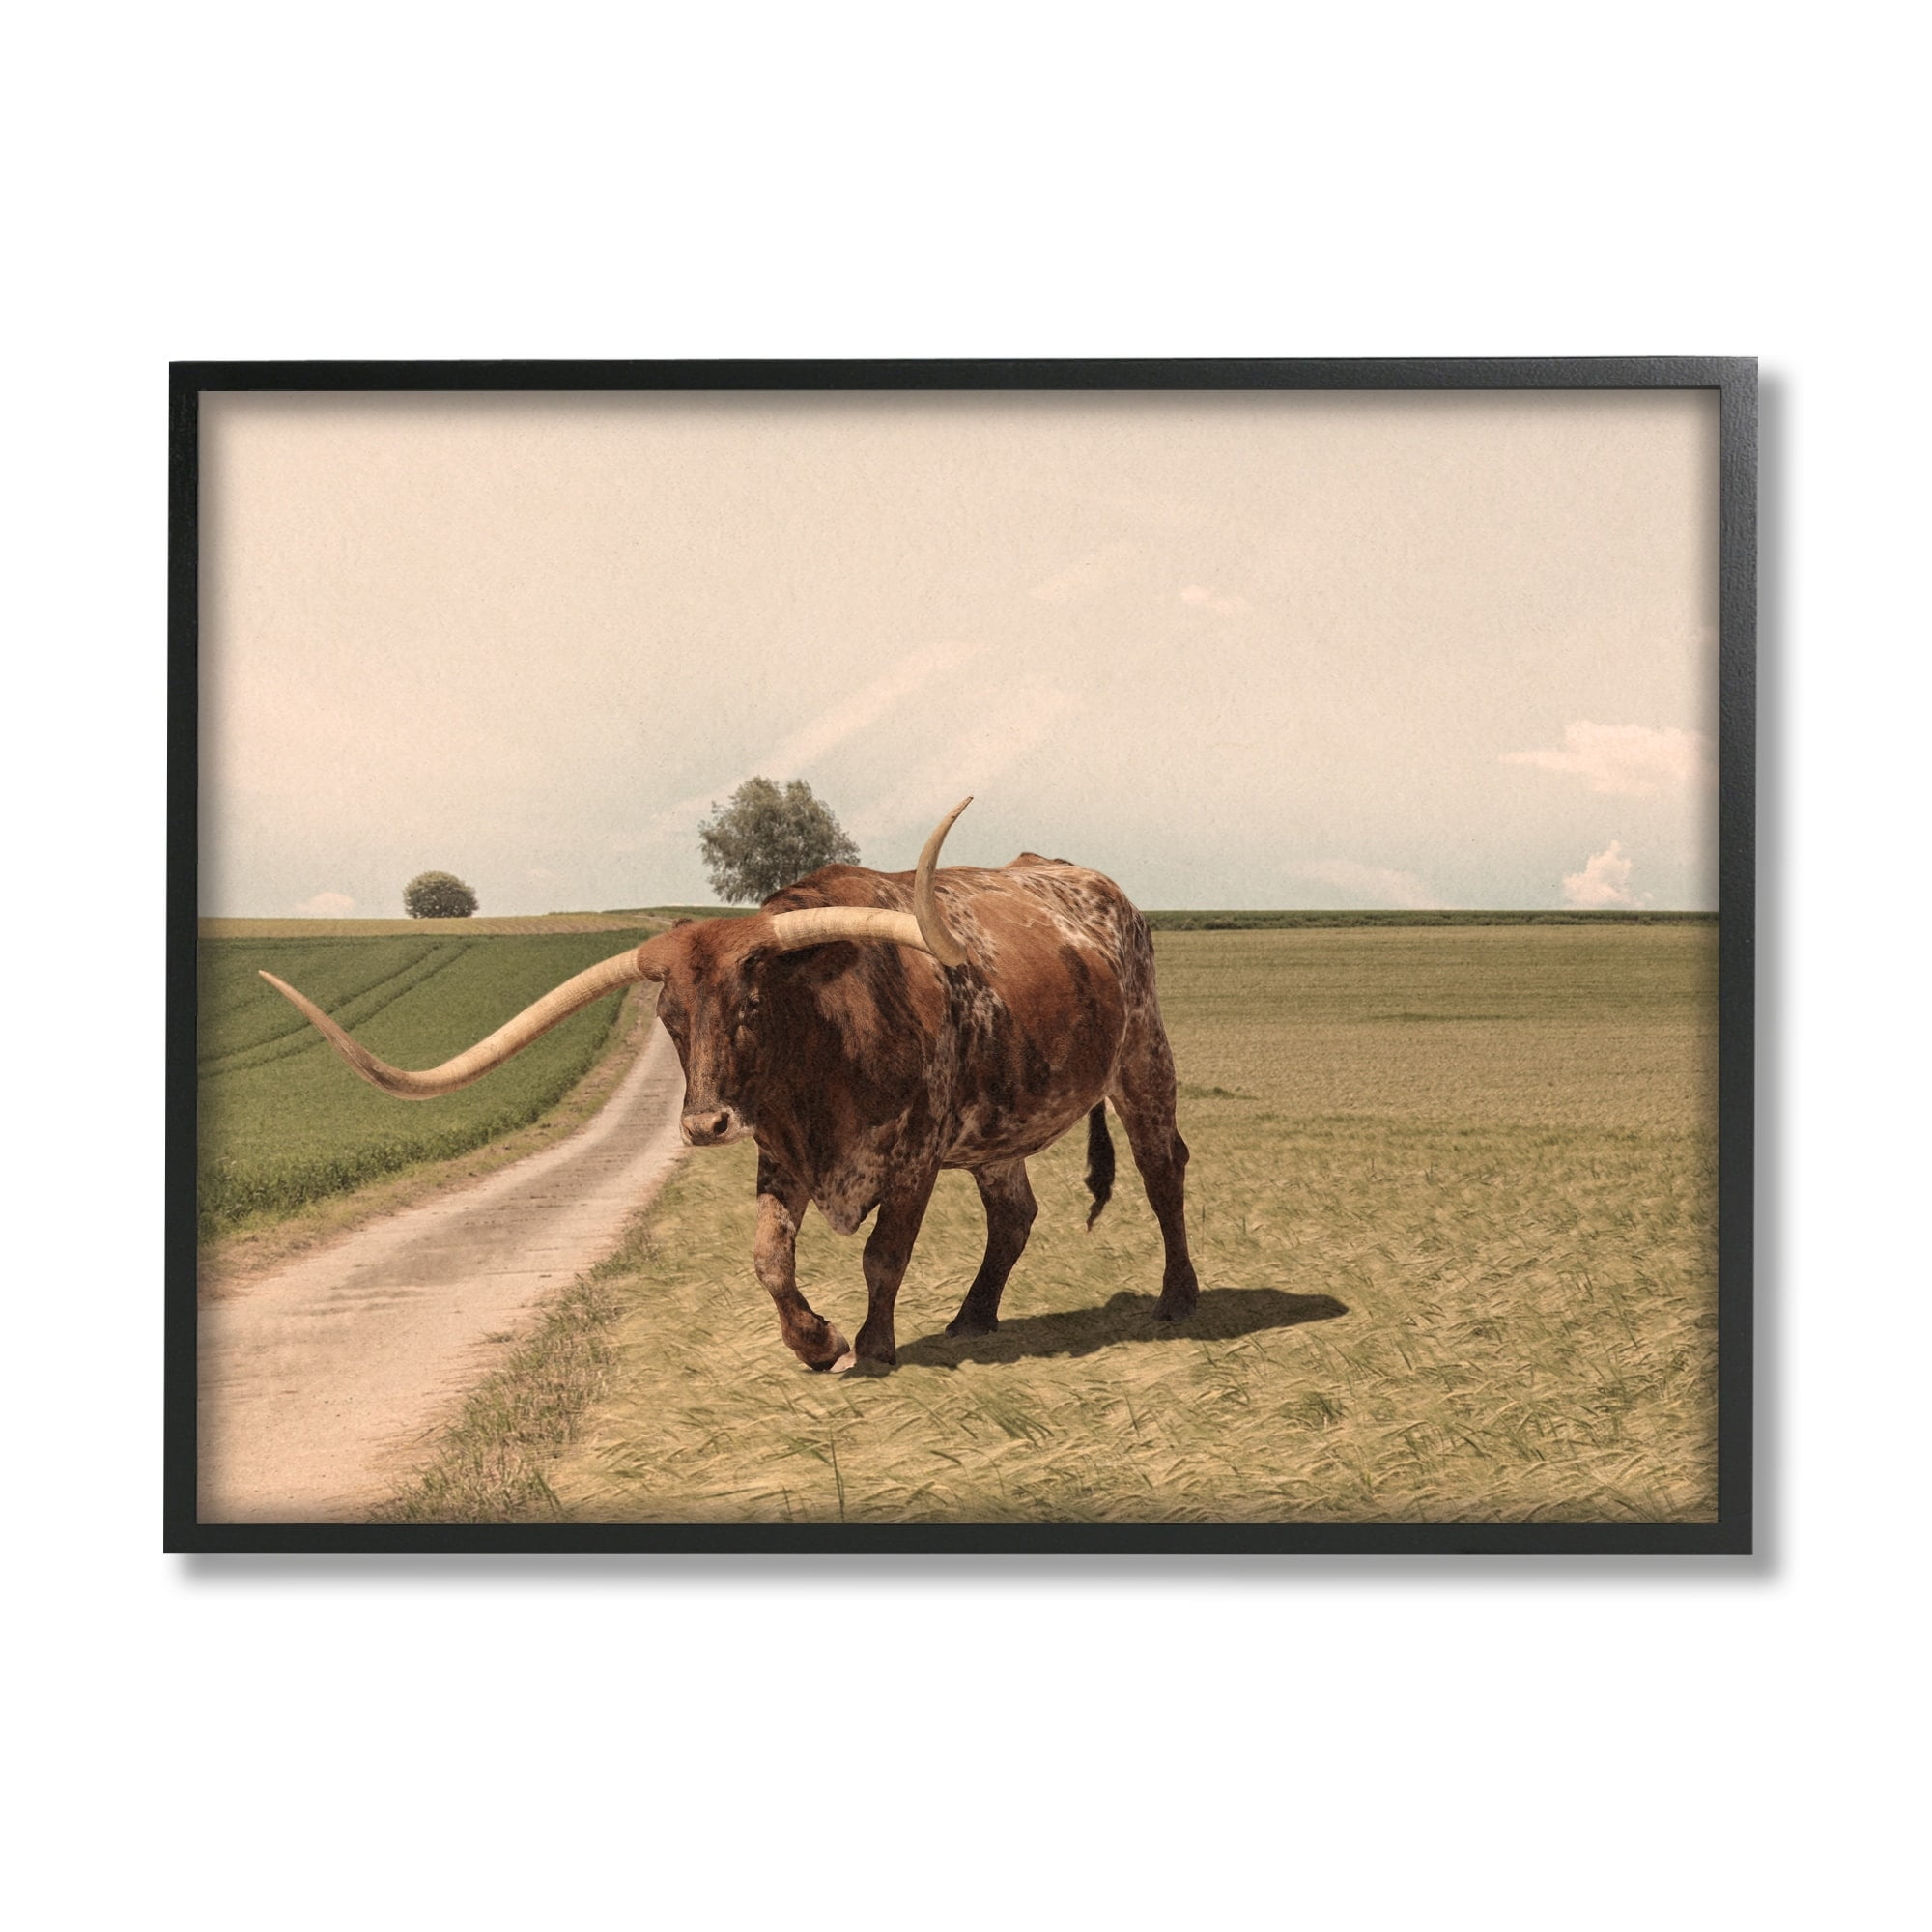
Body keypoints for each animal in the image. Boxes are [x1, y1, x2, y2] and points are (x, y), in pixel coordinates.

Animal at [260, 801, 1198, 1373]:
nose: (705, 1123)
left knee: (1164, 1170)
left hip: (1142, 1059)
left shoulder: (916, 1153)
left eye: (752, 1001)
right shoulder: (782, 1153)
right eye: (670, 1015)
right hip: (999, 1126)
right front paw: (815, 1341)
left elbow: (883, 1254)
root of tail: (1091, 882)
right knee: (1015, 1214)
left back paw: (1179, 1298)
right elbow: (767, 1257)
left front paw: (875, 1343)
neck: (828, 1043)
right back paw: (973, 1316)